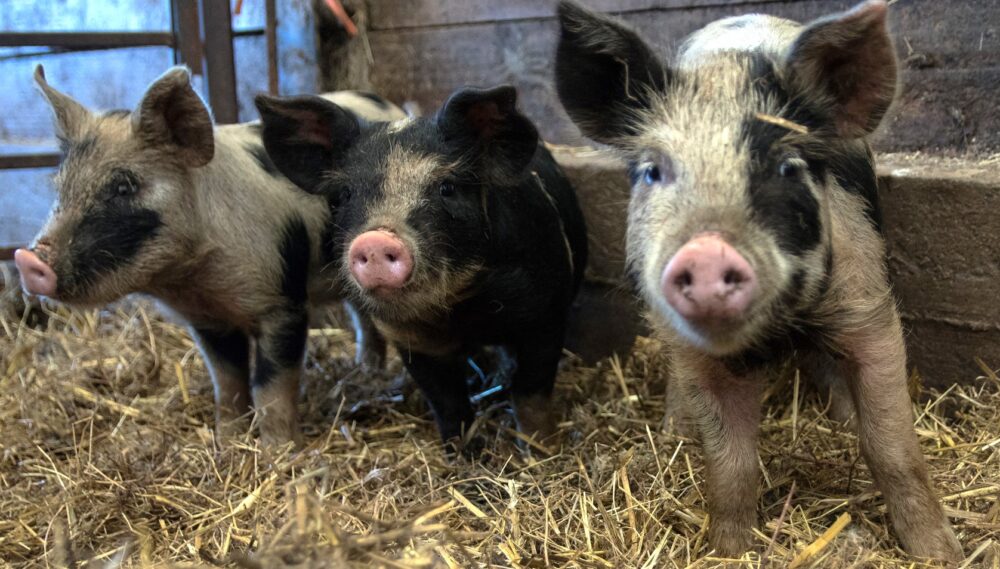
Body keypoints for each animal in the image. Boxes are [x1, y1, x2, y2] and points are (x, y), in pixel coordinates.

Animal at [16, 65, 407, 446]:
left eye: (124, 186)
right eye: (60, 187)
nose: (28, 259)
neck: (195, 279)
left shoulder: (282, 303)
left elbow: (271, 387)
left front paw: (279, 451)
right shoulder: (207, 321)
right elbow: (227, 382)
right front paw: (227, 440)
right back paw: (366, 368)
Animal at [255, 86, 587, 449]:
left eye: (447, 188)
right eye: (345, 194)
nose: (375, 239)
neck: (463, 310)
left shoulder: (545, 314)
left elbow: (531, 394)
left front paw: (540, 448)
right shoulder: (412, 339)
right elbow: (448, 403)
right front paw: (463, 454)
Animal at [554, 0, 962, 561]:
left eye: (787, 166)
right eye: (653, 171)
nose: (706, 251)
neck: (777, 331)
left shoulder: (868, 306)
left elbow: (891, 445)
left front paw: (940, 554)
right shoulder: (697, 353)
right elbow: (731, 467)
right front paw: (728, 552)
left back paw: (841, 418)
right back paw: (674, 434)